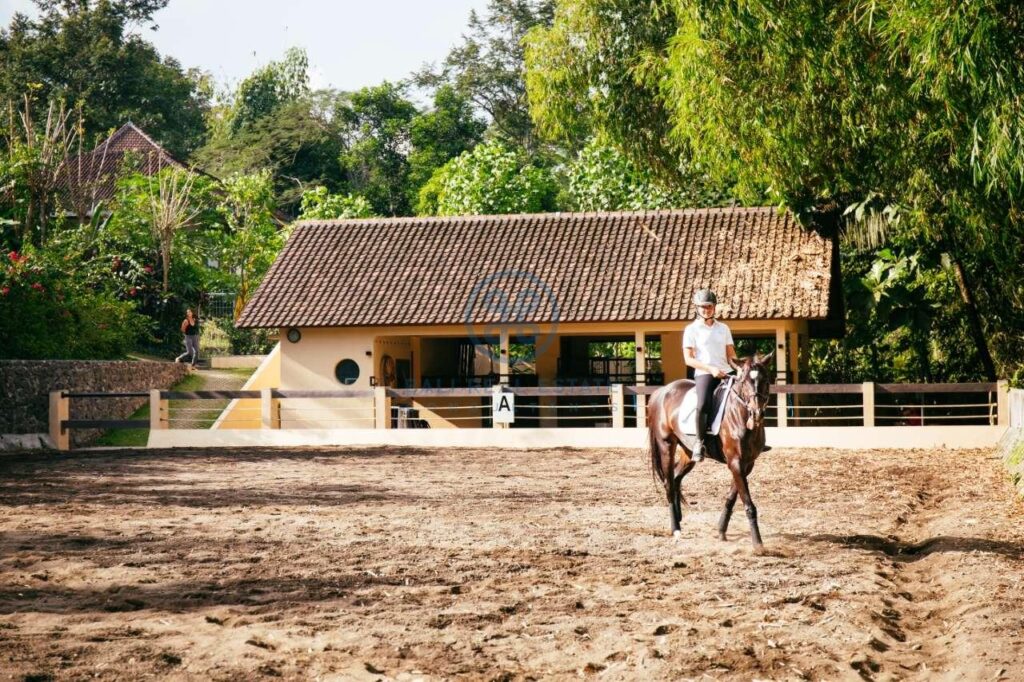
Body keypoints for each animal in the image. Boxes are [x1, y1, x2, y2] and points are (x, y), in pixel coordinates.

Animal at [647, 352, 774, 548]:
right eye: (744, 381)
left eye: (766, 379)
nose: (757, 414)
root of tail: (661, 392)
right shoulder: (735, 462)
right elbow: (748, 503)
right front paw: (758, 544)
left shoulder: (747, 464)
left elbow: (732, 497)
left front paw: (721, 530)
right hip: (666, 446)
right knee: (668, 483)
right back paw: (676, 529)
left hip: (688, 452)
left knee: (676, 478)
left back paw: (679, 518)